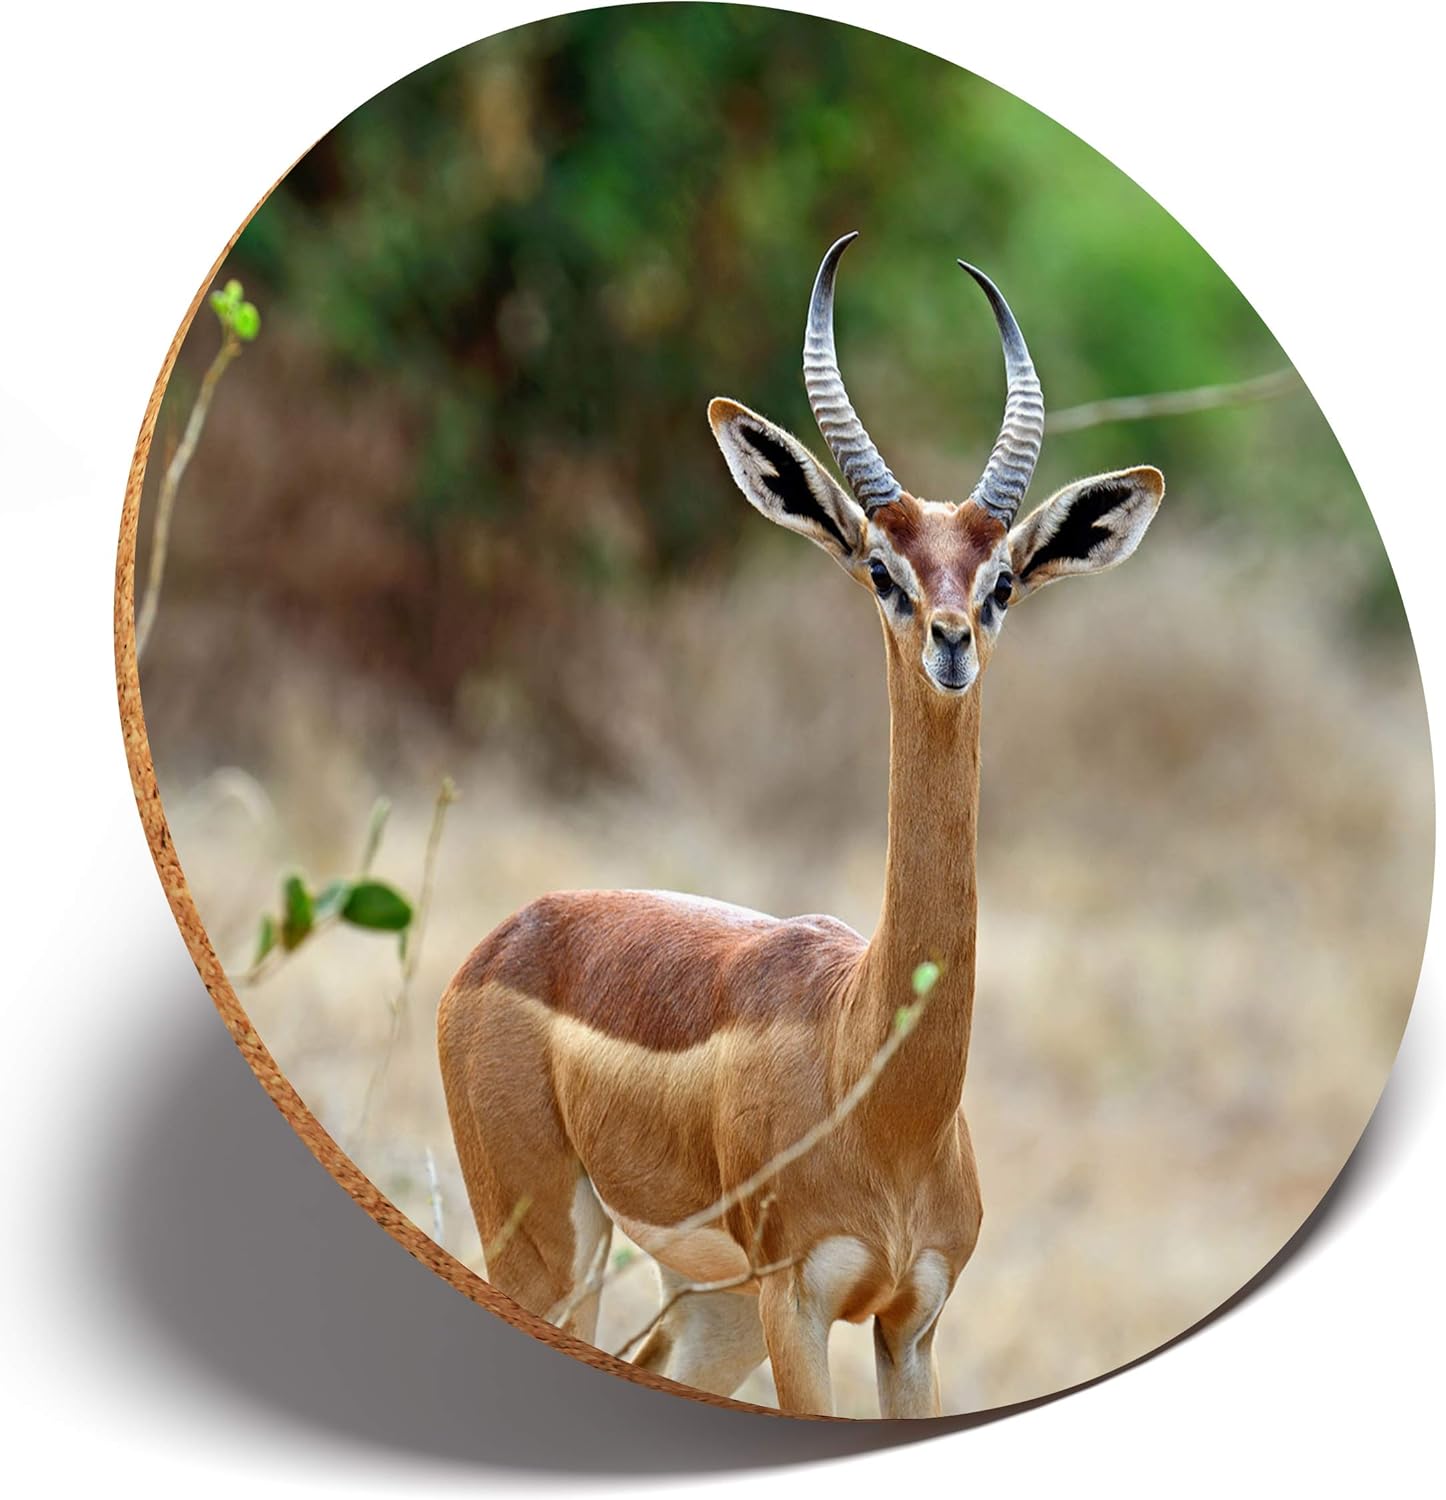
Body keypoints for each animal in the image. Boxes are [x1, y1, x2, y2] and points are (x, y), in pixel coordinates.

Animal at [438, 233, 1164, 1417]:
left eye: (1004, 578)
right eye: (882, 568)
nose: (952, 641)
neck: (875, 1078)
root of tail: (508, 936)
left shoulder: (912, 1324)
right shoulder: (803, 1305)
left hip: (710, 1308)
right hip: (553, 1252)